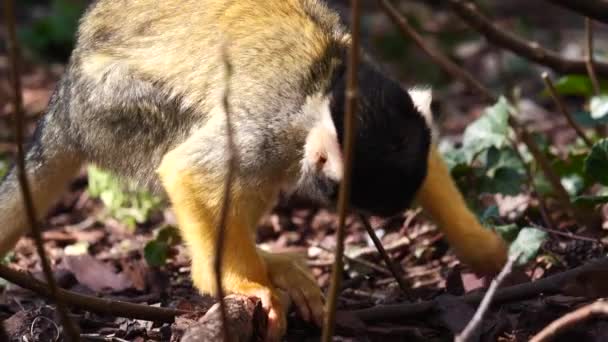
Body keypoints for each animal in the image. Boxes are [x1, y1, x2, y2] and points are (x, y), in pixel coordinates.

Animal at [0, 0, 508, 340]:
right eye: (331, 187)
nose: (320, 187)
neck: (328, 87)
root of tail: (67, 99)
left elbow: (427, 158)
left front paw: (485, 251)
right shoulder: (273, 124)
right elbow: (189, 171)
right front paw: (239, 282)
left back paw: (270, 262)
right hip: (114, 109)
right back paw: (234, 272)